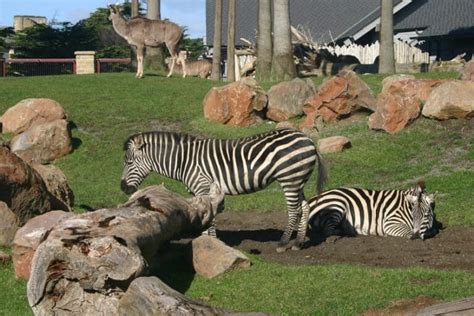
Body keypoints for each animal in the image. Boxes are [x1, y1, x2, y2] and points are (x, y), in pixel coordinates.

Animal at [308, 183, 436, 239]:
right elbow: (407, 232)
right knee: (328, 230)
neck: (404, 206)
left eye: (426, 215)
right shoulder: (390, 223)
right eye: (413, 215)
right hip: (338, 205)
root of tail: (311, 199)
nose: (417, 235)